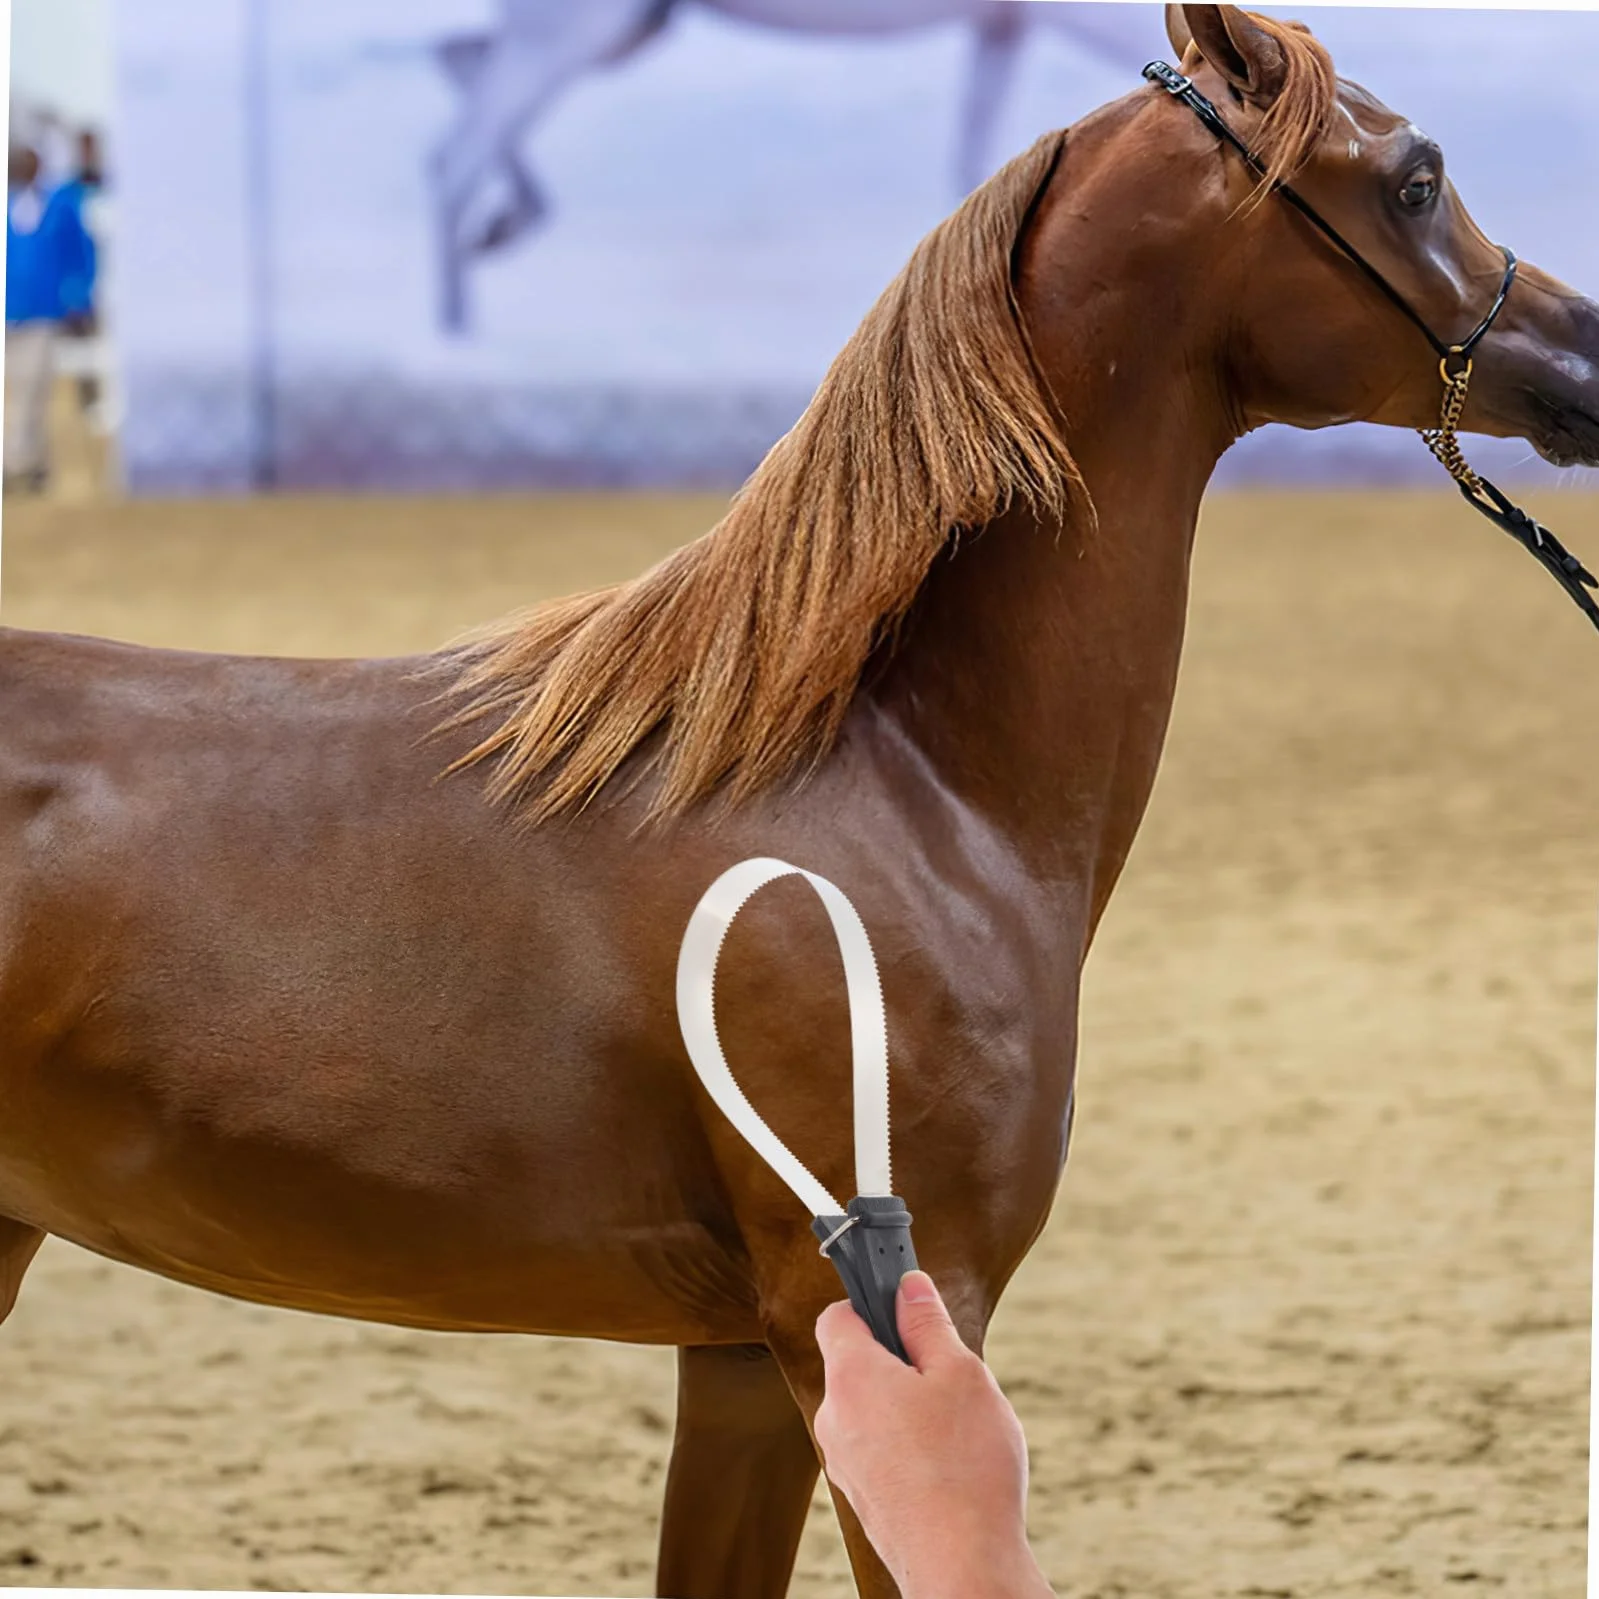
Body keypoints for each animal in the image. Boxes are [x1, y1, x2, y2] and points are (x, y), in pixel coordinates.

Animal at [428, 0, 1165, 332]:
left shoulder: (1004, 24)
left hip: (626, 27)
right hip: (576, 28)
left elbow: (973, 165)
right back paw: (459, 333)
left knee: (459, 65)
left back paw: (493, 241)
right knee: (453, 154)